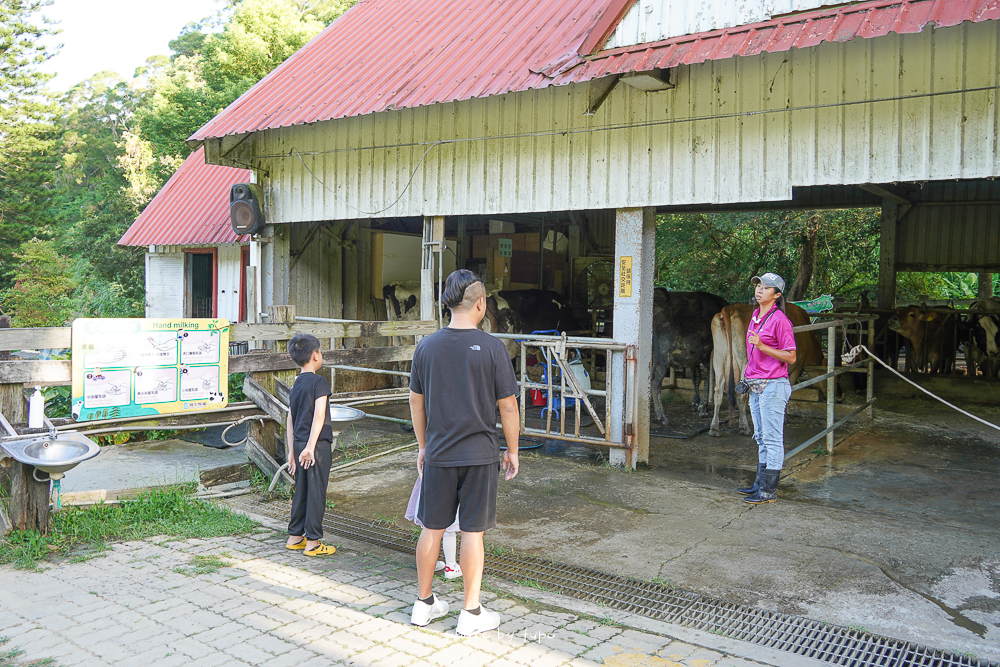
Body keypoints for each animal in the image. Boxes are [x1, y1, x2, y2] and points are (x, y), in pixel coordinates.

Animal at [712, 302, 828, 438]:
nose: (840, 397)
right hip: (743, 359)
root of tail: (730, 308)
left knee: (718, 391)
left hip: (718, 357)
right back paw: (744, 427)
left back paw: (714, 428)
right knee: (741, 394)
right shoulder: (797, 366)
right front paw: (784, 418)